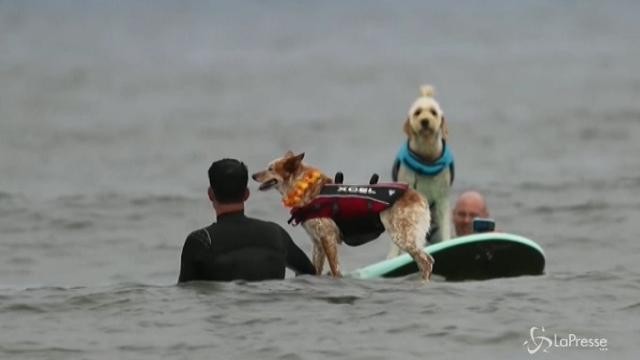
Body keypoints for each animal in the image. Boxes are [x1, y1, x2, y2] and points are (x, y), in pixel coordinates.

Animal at [250, 151, 436, 282]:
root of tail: (418, 196)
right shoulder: (317, 242)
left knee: (426, 261)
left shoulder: (327, 237)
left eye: (270, 168)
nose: (253, 175)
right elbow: (316, 270)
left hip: (402, 236)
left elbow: (335, 269)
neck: (306, 189)